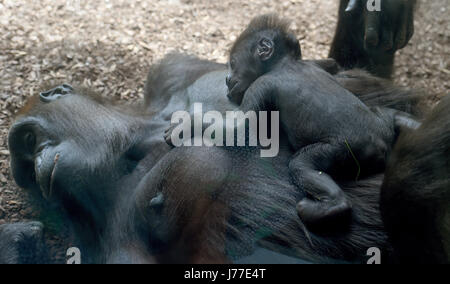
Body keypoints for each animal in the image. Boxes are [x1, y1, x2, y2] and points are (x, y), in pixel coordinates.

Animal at [227, 15, 416, 229]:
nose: (227, 78)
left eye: (233, 62)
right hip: (382, 123)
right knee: (394, 116)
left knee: (302, 165)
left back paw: (330, 206)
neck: (283, 63)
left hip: (344, 150)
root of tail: (383, 145)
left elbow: (240, 123)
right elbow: (332, 64)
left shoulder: (260, 85)